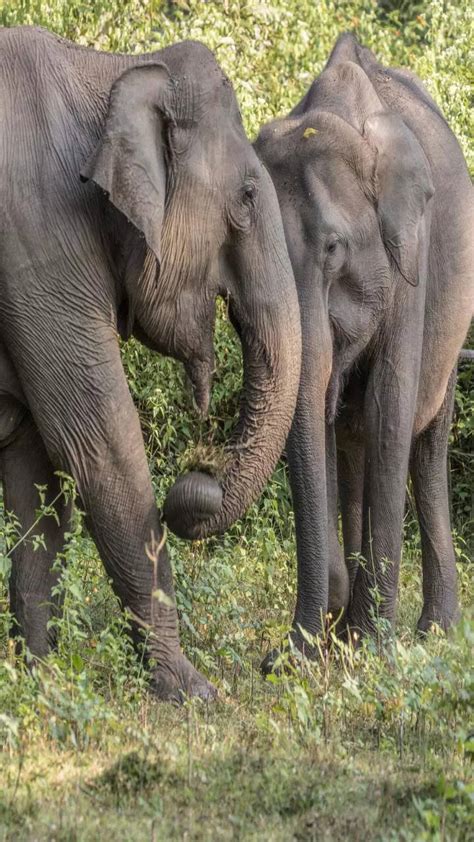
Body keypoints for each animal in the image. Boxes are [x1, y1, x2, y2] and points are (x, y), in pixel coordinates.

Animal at [0, 27, 301, 701]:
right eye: (247, 197)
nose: (194, 479)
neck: (106, 71)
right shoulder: (36, 248)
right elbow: (97, 442)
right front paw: (191, 692)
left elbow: (38, 468)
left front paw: (42, 686)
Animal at [255, 33, 473, 657]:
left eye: (333, 250)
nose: (275, 658)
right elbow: (323, 420)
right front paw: (336, 634)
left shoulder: (414, 253)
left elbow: (388, 410)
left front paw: (376, 647)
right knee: (351, 445)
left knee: (424, 444)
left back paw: (429, 631)